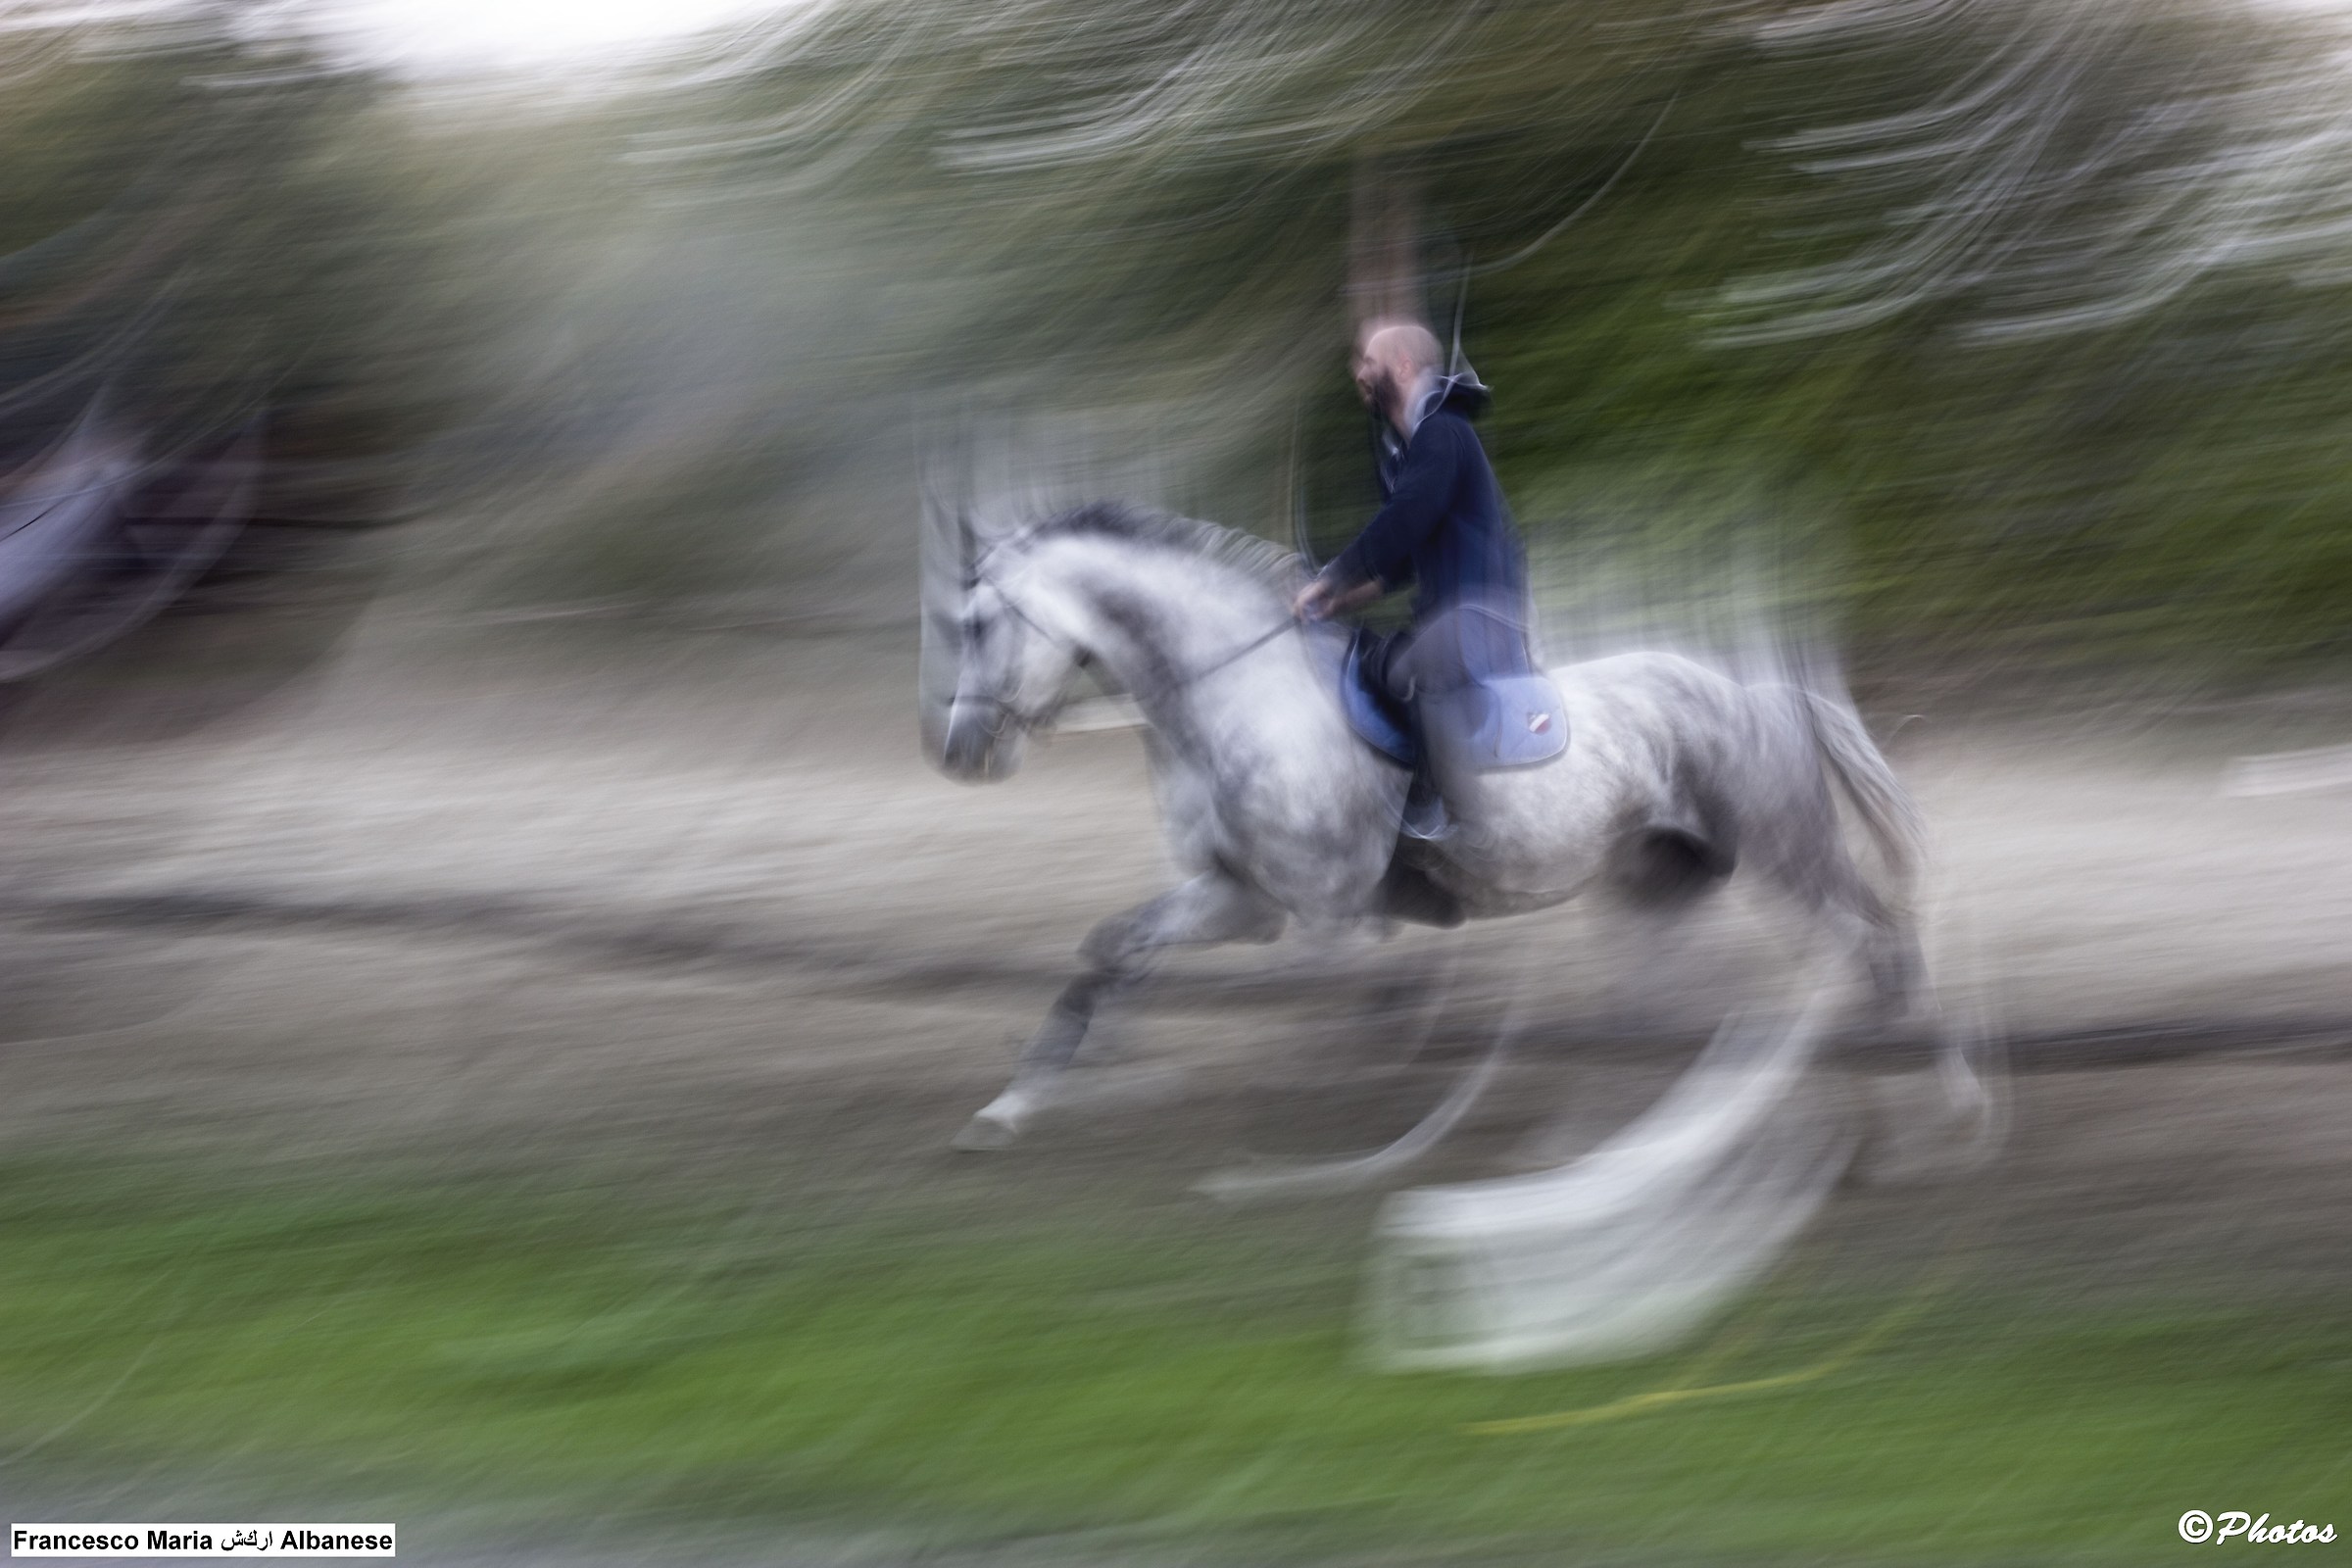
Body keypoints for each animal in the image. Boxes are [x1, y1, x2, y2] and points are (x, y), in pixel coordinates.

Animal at [926, 500, 1925, 1154]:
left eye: (976, 625)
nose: (961, 751)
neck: (1239, 697)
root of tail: (1758, 687)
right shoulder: (1231, 890)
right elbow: (1111, 953)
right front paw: (1016, 1104)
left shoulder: (1288, 906)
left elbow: (1312, 988)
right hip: (1658, 880)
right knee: (1662, 1002)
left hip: (1785, 853)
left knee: (1871, 946)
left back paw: (1911, 1111)